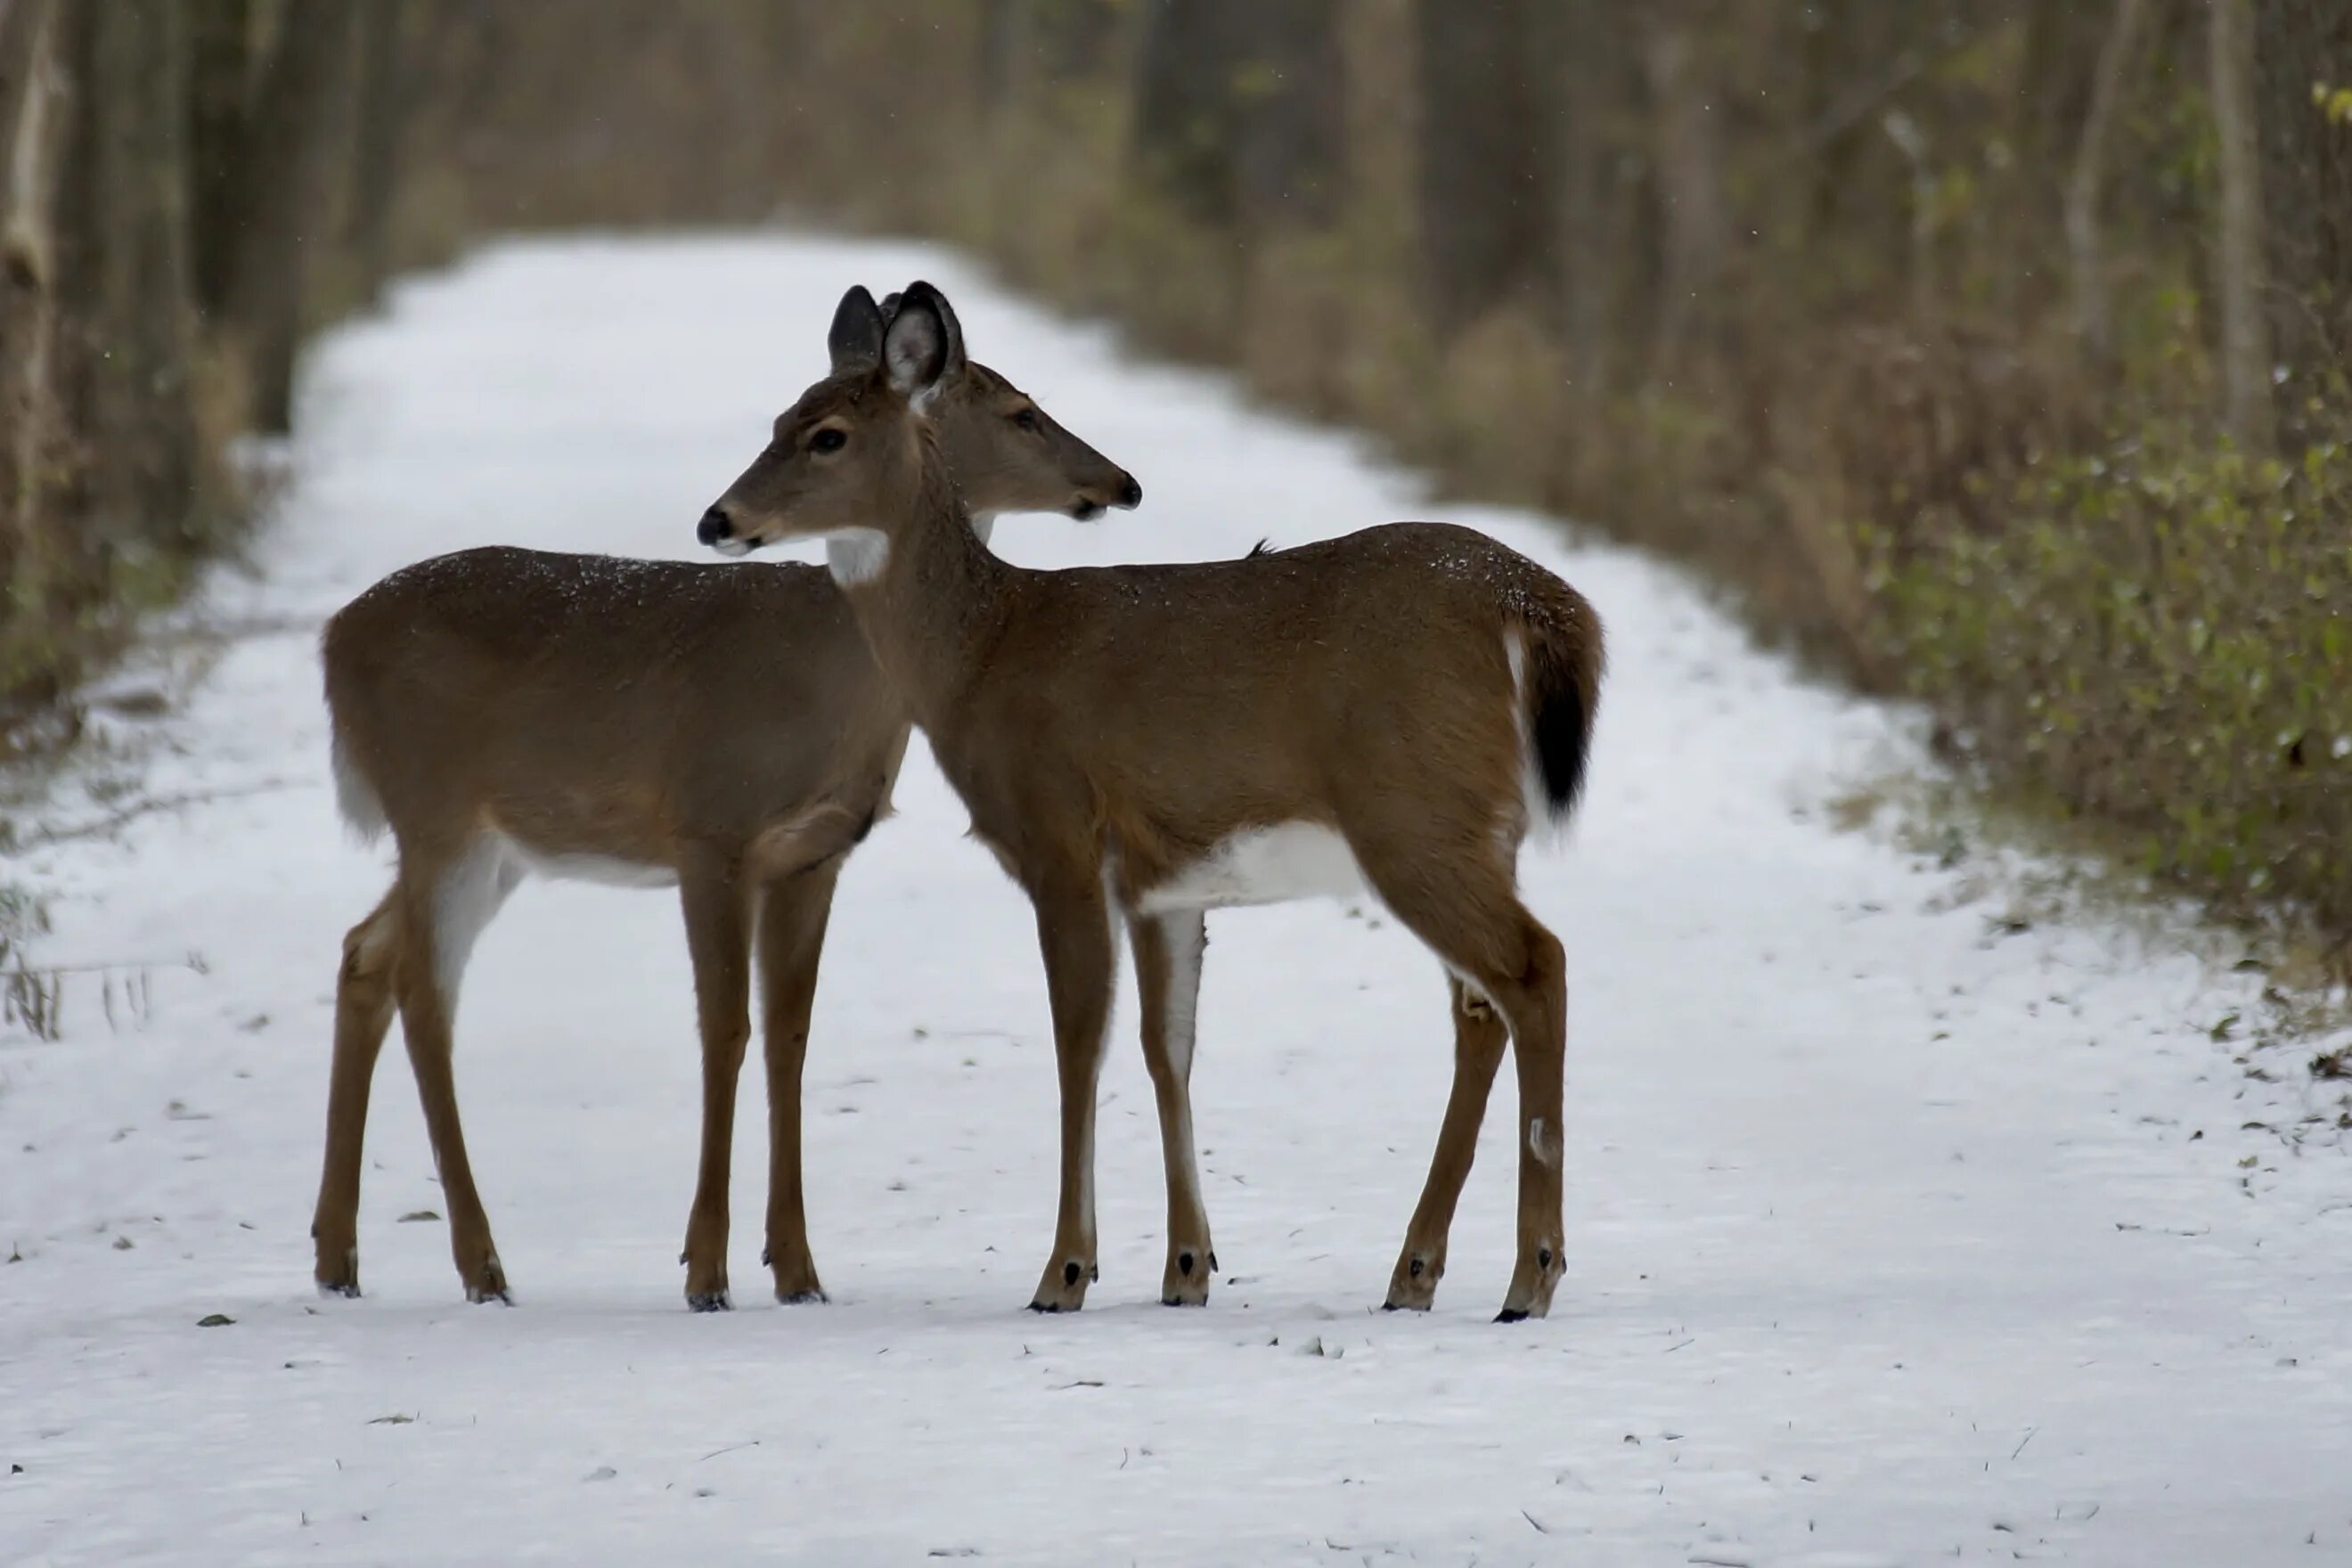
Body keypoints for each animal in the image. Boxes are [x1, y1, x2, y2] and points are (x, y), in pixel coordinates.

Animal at [317, 297, 1143, 1316]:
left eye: (819, 431)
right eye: (1022, 411)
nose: (1119, 482)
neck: (833, 673)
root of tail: (331, 639)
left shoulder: (815, 852)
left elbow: (788, 1034)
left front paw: (797, 1269)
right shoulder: (708, 828)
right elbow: (725, 1030)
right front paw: (705, 1271)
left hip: (495, 844)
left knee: (365, 951)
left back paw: (338, 1257)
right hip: (437, 814)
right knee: (425, 993)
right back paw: (483, 1265)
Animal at [696, 285, 1608, 1326]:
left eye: (829, 436)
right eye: (778, 420)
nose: (717, 519)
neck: (982, 652)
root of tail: (1537, 603)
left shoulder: (1059, 835)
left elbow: (1078, 1040)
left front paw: (1063, 1273)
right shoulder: (1164, 882)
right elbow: (1165, 1042)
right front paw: (1184, 1268)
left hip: (1414, 817)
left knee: (1535, 966)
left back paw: (1529, 1276)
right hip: (1476, 829)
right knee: (1481, 1004)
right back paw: (1414, 1273)